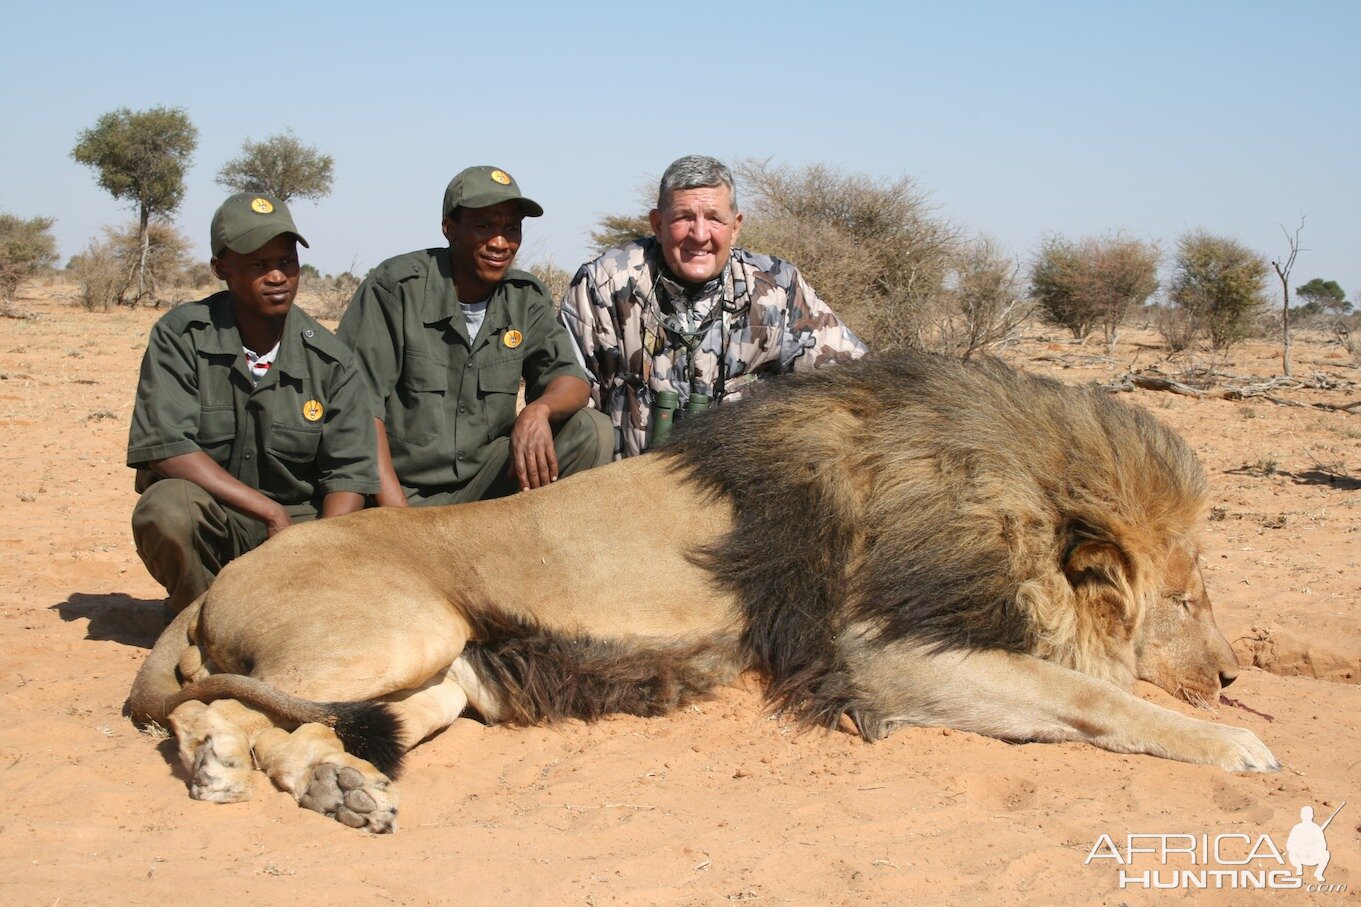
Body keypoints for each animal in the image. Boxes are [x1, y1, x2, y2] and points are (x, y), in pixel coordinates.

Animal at [125, 348, 1273, 828]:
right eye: (1184, 598)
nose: (1228, 675)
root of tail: (224, 578)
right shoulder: (873, 649)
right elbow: (1084, 695)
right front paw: (1237, 744)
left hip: (439, 680)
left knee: (286, 729)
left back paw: (343, 787)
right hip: (396, 630)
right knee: (214, 716)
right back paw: (248, 772)